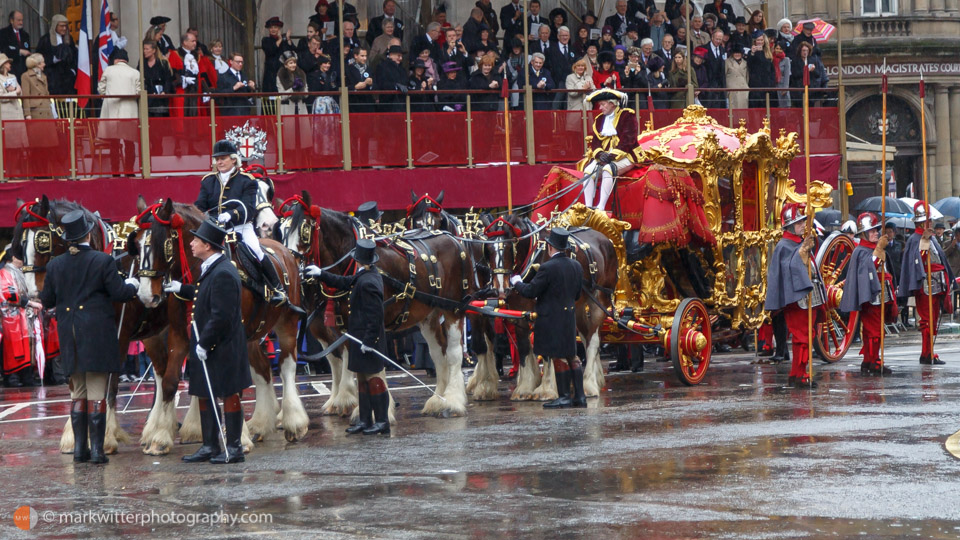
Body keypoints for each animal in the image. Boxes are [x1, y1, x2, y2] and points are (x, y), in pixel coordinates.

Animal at [133, 198, 308, 448]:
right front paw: (160, 437)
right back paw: (260, 424)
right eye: (136, 244)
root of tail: (285, 252)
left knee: (286, 366)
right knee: (263, 369)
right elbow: (170, 382)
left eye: (161, 243)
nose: (148, 296)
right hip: (252, 336)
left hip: (287, 325)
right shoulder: (180, 335)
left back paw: (294, 423)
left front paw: (238, 438)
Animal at [280, 190, 474, 418]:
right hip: (429, 316)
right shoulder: (338, 325)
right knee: (438, 353)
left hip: (454, 309)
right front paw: (350, 402)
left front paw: (368, 408)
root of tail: (451, 238)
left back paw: (452, 401)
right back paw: (438, 400)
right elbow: (347, 361)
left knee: (453, 352)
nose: (290, 266)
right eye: (281, 230)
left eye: (305, 230)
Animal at [480, 213, 616, 402]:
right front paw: (525, 388)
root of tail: (605, 240)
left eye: (509, 246)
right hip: (578, 305)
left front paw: (546, 389)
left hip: (599, 300)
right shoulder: (519, 312)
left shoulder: (542, 312)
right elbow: (524, 348)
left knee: (594, 339)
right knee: (586, 336)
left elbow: (545, 350)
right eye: (488, 250)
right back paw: (595, 379)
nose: (500, 288)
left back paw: (589, 384)